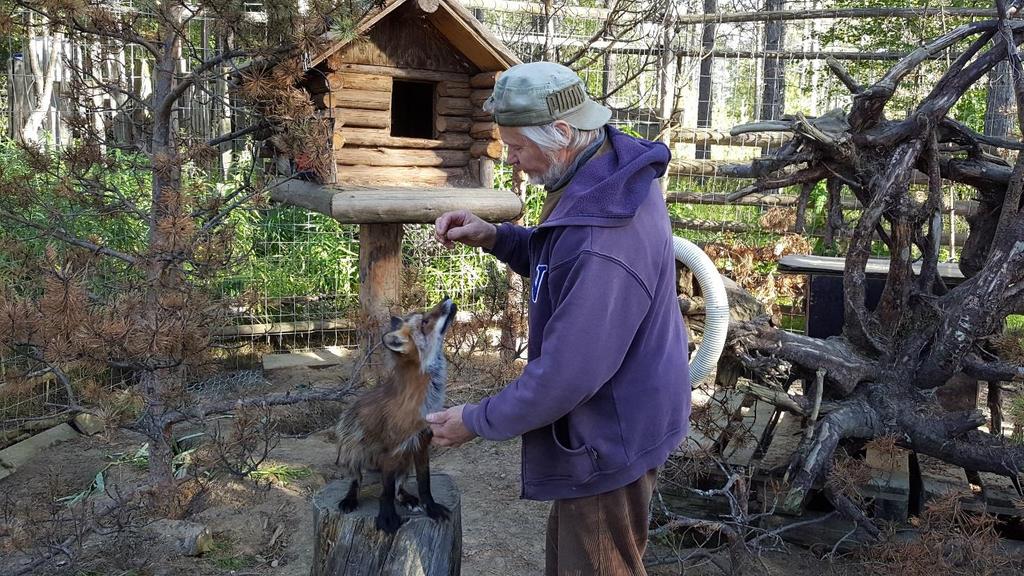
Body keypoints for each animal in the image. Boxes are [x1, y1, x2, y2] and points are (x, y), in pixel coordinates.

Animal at [335, 297, 456, 532]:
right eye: (425, 321)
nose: (447, 298)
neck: (425, 401)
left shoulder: (420, 444)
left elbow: (424, 484)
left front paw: (431, 508)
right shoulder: (392, 449)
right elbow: (386, 492)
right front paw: (387, 517)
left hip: (405, 459)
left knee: (400, 488)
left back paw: (408, 499)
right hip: (353, 448)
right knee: (357, 480)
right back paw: (350, 499)